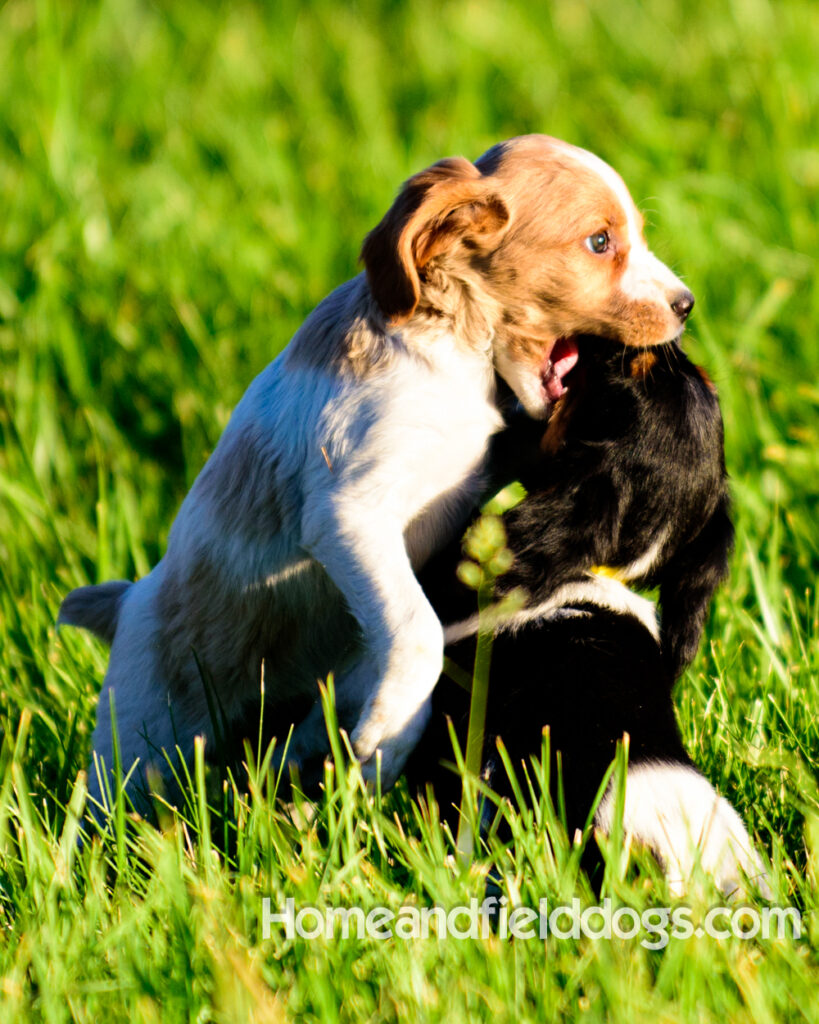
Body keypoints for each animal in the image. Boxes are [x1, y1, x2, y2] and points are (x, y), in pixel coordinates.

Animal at [60, 134, 696, 806]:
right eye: (599, 242)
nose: (687, 305)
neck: (452, 354)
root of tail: (125, 604)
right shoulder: (351, 515)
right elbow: (417, 631)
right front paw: (389, 731)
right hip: (139, 739)